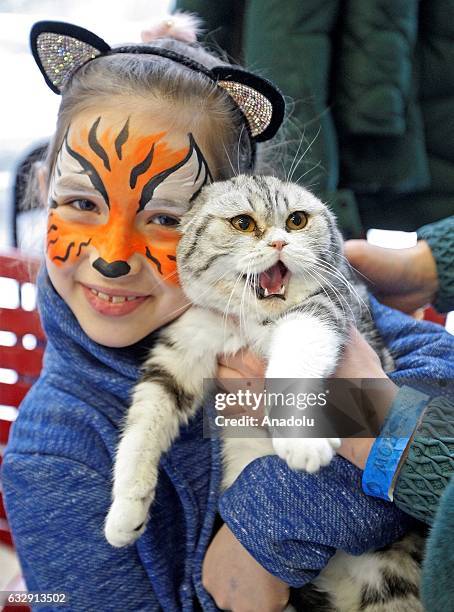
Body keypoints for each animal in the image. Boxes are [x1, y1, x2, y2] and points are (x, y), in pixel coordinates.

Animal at [103, 176, 422, 612]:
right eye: (243, 223)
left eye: (297, 220)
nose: (279, 242)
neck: (256, 322)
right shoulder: (183, 349)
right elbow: (143, 424)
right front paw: (124, 513)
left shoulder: (327, 309)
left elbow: (297, 353)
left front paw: (302, 440)